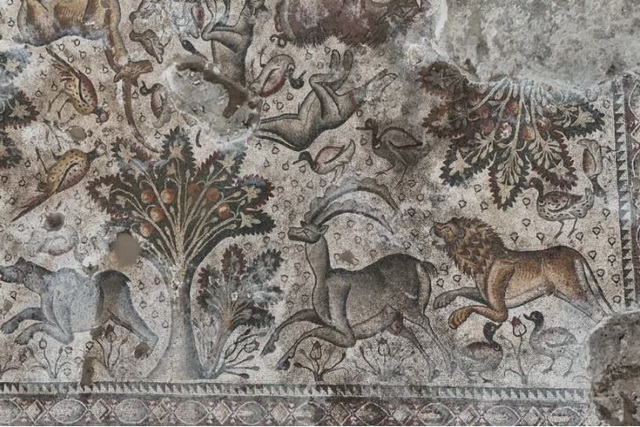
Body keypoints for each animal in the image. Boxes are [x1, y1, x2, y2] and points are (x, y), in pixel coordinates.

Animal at [262, 178, 447, 379]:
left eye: (307, 230)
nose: (290, 232)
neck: (323, 278)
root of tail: (418, 263)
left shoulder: (347, 335)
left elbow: (307, 333)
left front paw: (282, 361)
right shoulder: (322, 319)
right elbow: (295, 316)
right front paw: (267, 348)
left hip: (405, 305)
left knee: (424, 322)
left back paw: (451, 364)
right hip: (394, 322)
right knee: (410, 333)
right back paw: (433, 370)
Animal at [430, 217, 613, 329]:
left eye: (446, 228)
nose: (433, 226)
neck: (481, 258)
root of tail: (575, 253)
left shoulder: (501, 311)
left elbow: (477, 308)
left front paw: (457, 316)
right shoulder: (485, 297)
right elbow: (463, 289)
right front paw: (443, 298)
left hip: (571, 289)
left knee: (598, 312)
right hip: (570, 291)